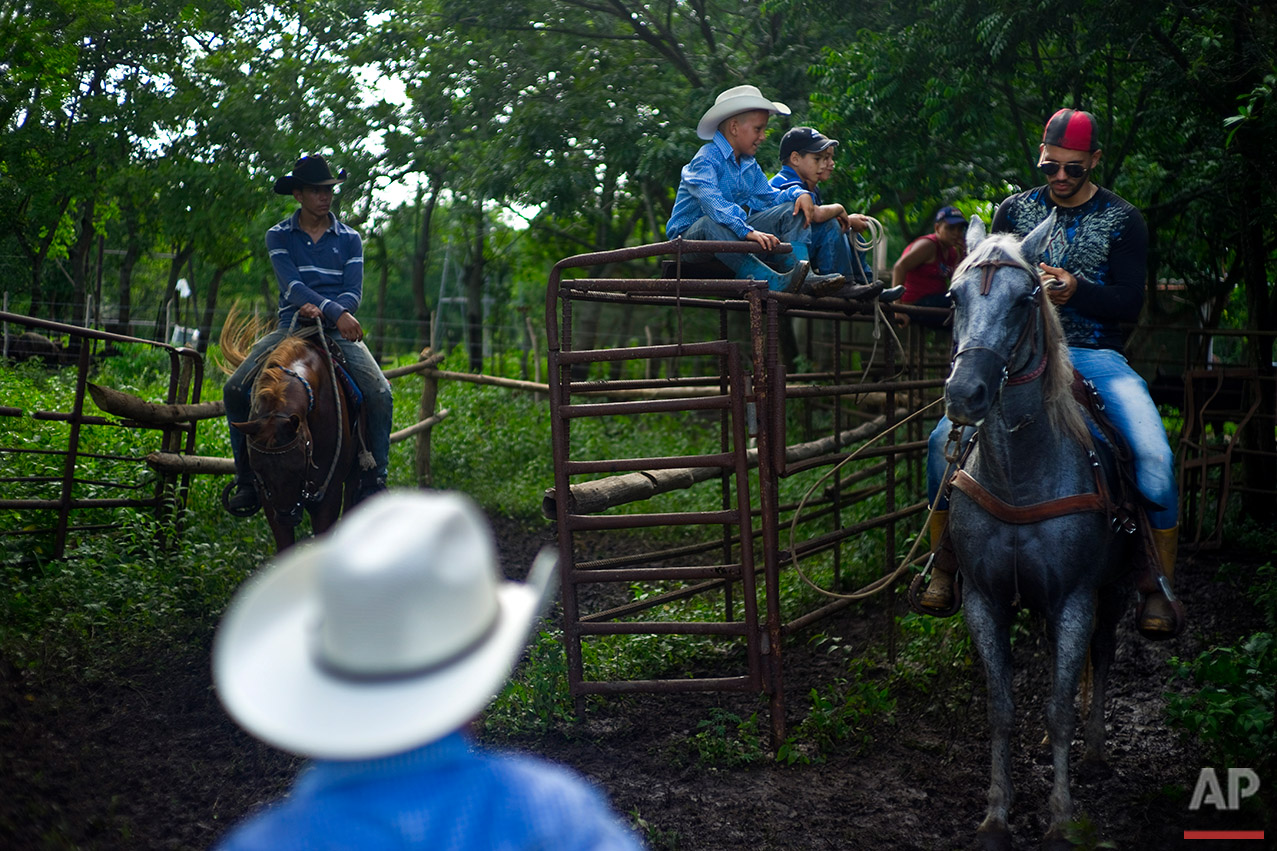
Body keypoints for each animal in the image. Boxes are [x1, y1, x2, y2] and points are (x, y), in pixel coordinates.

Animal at [219, 310, 367, 549]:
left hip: (355, 474)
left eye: (299, 466)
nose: (287, 516)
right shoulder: (268, 497)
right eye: (259, 469)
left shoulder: (329, 494)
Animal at [939, 213, 1128, 848]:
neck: (1022, 475)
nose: (964, 394)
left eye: (1026, 300)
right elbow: (1002, 708)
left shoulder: (1074, 599)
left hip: (1114, 593)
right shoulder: (984, 599)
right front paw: (996, 814)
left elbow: (1060, 706)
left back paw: (1093, 749)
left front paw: (1062, 817)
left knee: (1103, 654)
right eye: (953, 297)